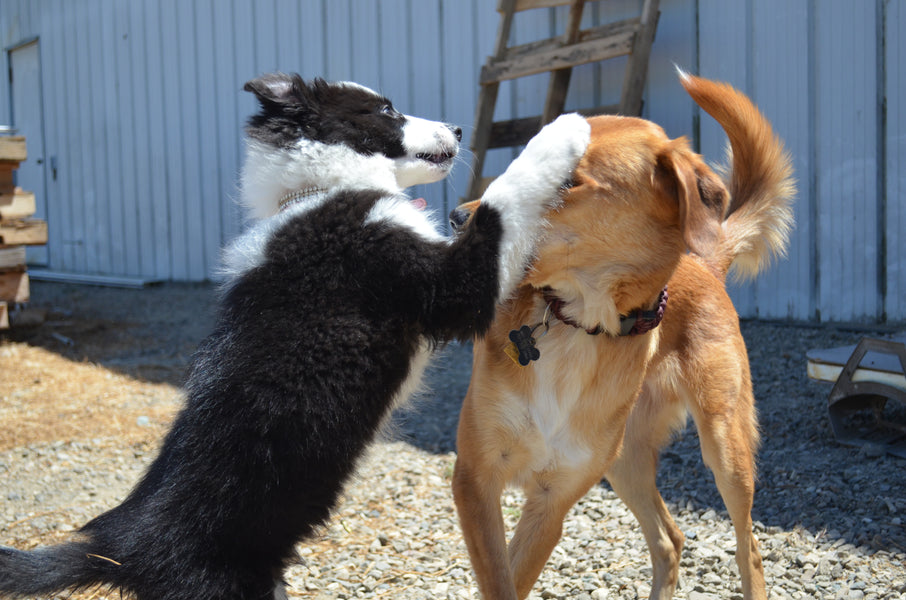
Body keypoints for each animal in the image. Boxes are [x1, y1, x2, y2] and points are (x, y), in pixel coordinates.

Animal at [0, 75, 588, 600]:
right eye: (387, 109)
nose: (459, 128)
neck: (324, 188)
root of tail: (119, 550)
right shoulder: (445, 284)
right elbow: (501, 202)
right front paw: (564, 130)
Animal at [450, 71, 792, 600]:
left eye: (567, 181)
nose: (457, 220)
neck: (577, 324)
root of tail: (705, 260)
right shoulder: (475, 478)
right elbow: (500, 580)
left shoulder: (553, 498)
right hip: (624, 460)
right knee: (671, 539)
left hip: (725, 448)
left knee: (748, 545)